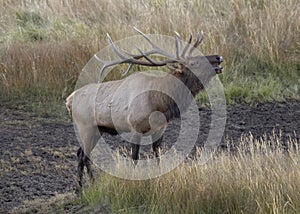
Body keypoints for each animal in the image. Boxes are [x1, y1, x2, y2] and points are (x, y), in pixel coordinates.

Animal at [67, 28, 224, 187]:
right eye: (194, 62)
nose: (219, 57)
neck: (159, 103)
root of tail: (69, 99)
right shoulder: (134, 127)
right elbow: (135, 158)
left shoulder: (160, 128)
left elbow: (157, 155)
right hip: (85, 127)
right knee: (83, 155)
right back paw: (81, 187)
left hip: (97, 129)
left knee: (82, 154)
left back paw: (90, 184)